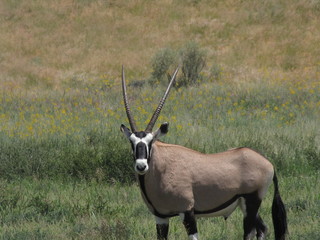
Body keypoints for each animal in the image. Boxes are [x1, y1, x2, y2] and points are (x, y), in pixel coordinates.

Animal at [120, 66, 288, 240]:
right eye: (132, 142)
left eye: (151, 141)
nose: (141, 166)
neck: (163, 167)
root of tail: (269, 164)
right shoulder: (161, 217)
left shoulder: (187, 212)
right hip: (245, 205)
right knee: (262, 228)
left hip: (252, 202)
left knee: (250, 232)